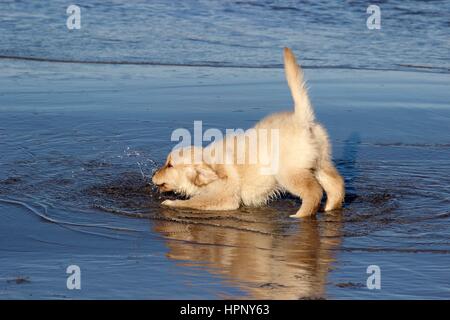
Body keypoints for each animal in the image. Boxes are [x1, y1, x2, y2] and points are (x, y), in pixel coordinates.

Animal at [152, 47, 344, 218]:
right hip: (320, 162)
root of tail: (302, 118)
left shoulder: (225, 197)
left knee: (314, 191)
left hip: (289, 171)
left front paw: (171, 203)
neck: (210, 167)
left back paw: (301, 214)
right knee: (337, 183)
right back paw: (330, 207)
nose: (153, 174)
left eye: (170, 165)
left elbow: (195, 202)